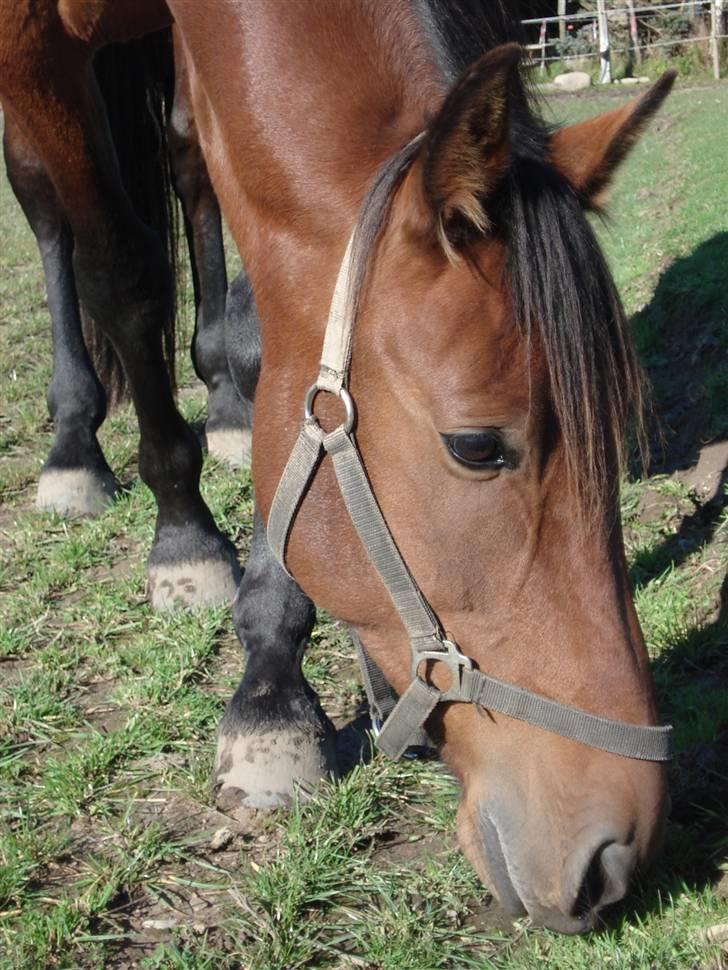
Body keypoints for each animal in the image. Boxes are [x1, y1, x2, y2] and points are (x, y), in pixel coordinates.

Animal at [1, 1, 676, 936]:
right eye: (476, 446)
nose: (615, 856)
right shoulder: (32, 47)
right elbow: (123, 273)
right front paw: (190, 552)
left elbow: (267, 342)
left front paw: (293, 678)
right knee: (48, 214)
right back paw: (76, 449)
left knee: (190, 169)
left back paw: (222, 411)